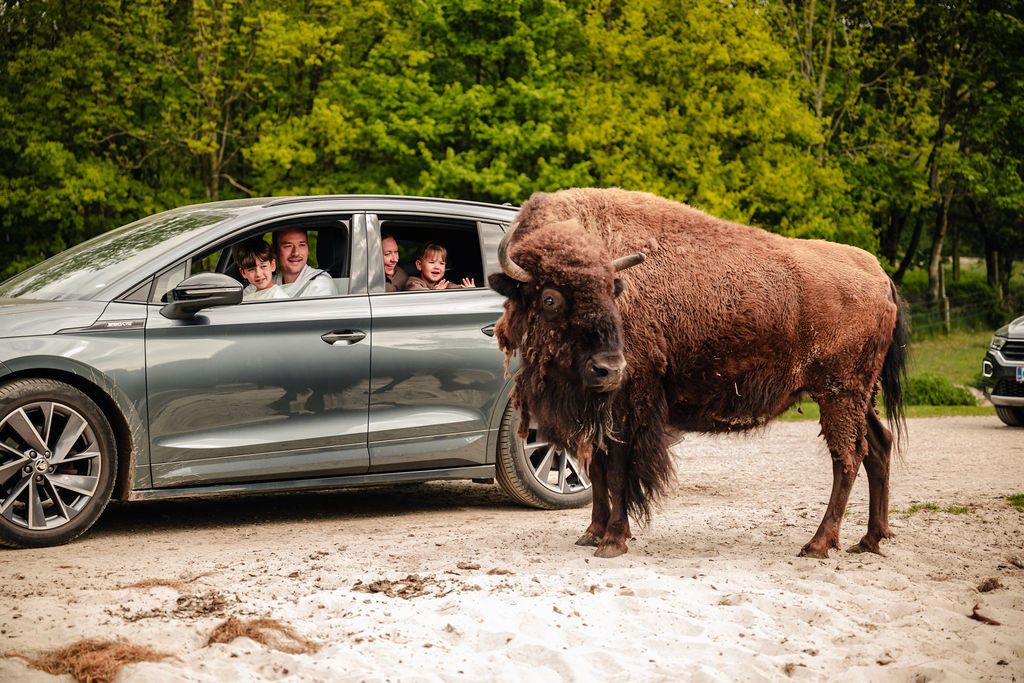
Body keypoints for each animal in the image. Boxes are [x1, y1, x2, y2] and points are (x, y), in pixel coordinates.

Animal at [489, 188, 908, 559]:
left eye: (613, 292)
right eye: (549, 298)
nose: (610, 368)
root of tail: (878, 275)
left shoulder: (626, 407)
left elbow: (618, 471)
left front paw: (613, 540)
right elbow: (599, 469)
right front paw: (591, 533)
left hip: (839, 393)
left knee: (848, 457)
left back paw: (818, 545)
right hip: (859, 395)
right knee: (878, 446)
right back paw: (870, 540)